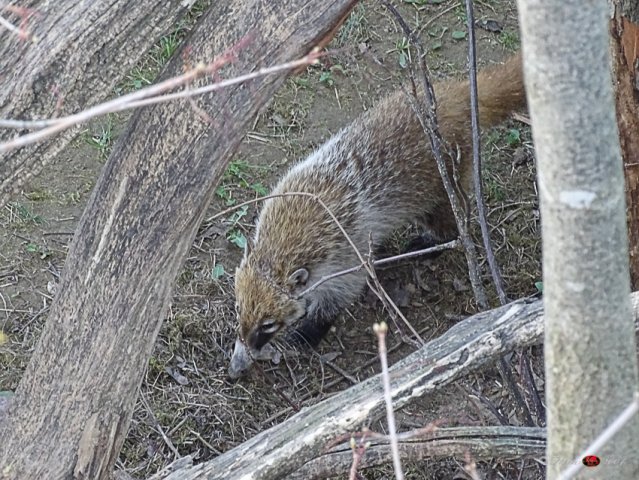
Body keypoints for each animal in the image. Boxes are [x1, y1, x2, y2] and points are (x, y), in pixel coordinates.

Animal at [229, 53, 526, 378]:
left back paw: (431, 242)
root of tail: (458, 94)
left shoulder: (346, 252)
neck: (285, 242)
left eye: (269, 325)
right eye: (238, 308)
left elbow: (341, 294)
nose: (236, 366)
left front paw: (308, 331)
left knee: (451, 218)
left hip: (443, 176)